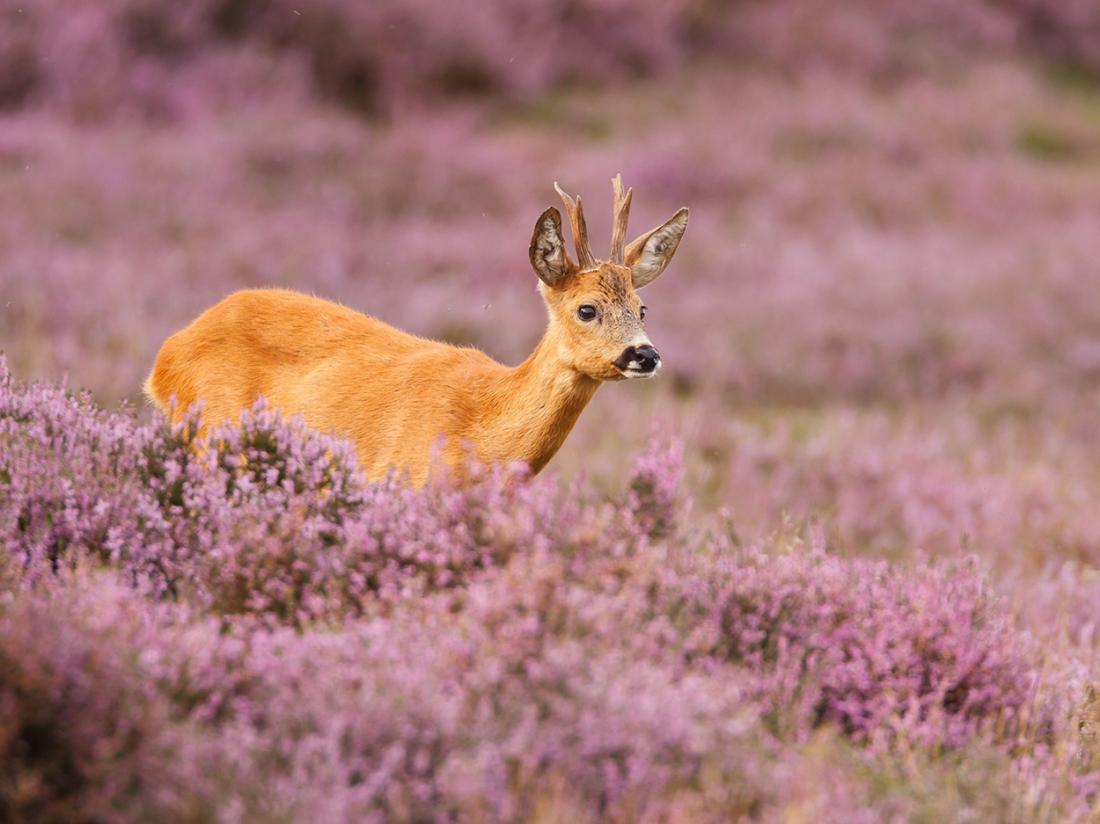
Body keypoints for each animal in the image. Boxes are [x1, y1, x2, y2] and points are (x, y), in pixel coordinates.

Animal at [141, 173, 682, 481]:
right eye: (587, 309)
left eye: (642, 309)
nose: (645, 354)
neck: (481, 435)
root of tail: (165, 357)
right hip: (212, 433)